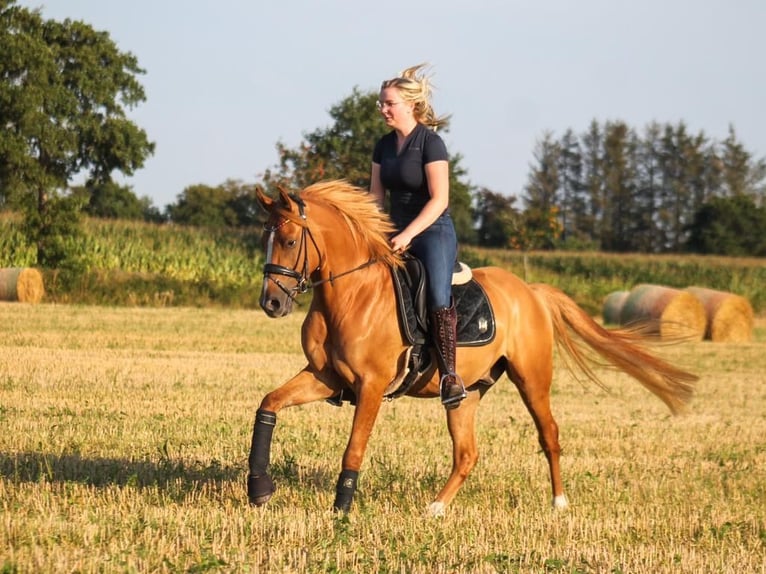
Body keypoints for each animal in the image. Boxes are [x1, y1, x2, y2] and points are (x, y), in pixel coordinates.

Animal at [249, 181, 700, 516]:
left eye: (289, 240)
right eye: (265, 239)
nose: (270, 304)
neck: (351, 294)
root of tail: (531, 292)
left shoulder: (371, 387)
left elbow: (354, 447)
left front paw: (340, 510)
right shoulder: (325, 377)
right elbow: (268, 404)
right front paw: (259, 487)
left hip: (532, 379)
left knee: (549, 434)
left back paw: (558, 502)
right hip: (468, 393)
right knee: (467, 453)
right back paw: (436, 508)